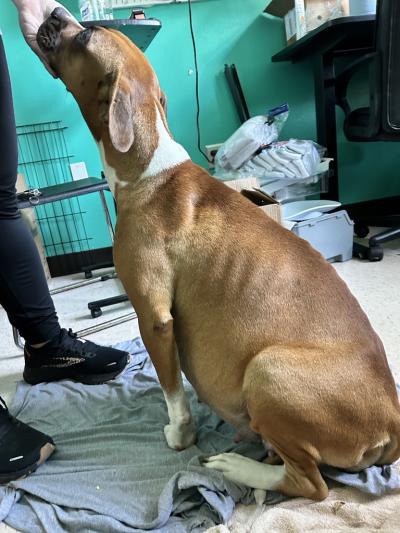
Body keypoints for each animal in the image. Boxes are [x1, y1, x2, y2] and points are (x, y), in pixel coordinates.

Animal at [37, 6, 400, 500]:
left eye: (86, 35)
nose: (54, 13)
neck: (148, 165)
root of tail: (393, 419)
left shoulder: (154, 317)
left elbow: (172, 389)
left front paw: (180, 433)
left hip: (268, 370)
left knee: (311, 484)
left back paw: (239, 467)